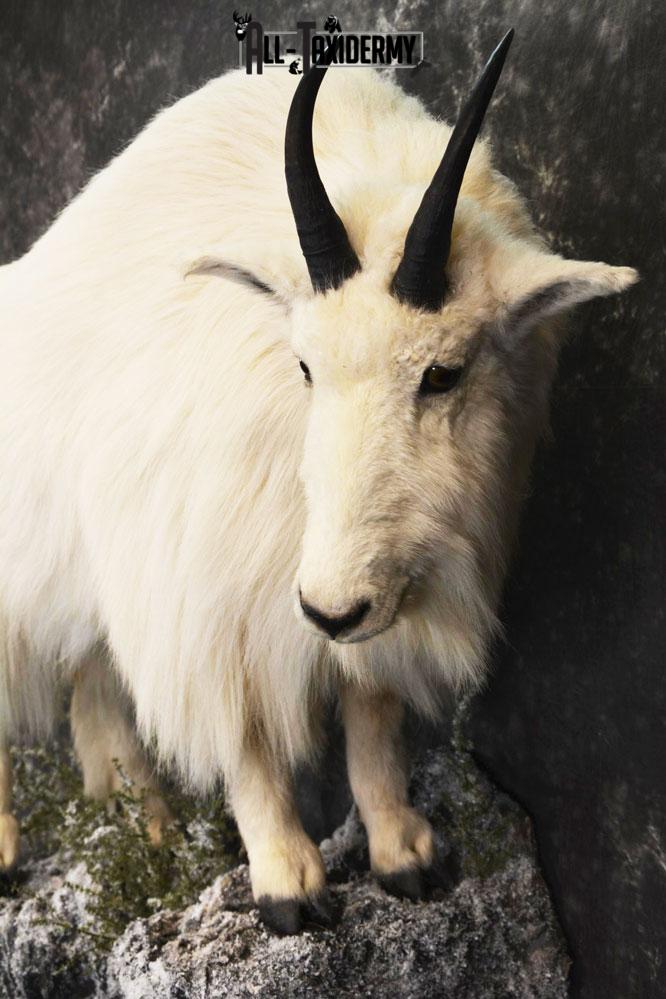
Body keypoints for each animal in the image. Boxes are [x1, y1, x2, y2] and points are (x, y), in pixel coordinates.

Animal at [0, 32, 636, 933]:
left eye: (444, 372)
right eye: (305, 364)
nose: (328, 606)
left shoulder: (382, 594)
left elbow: (372, 721)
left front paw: (405, 854)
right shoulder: (205, 598)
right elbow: (247, 743)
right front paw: (288, 888)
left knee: (95, 696)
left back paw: (150, 832)